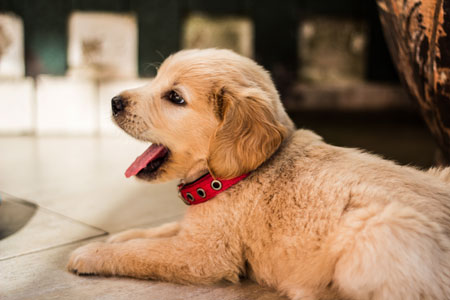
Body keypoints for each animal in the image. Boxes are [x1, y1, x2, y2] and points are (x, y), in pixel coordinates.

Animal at [67, 48, 450, 298]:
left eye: (175, 97)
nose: (114, 101)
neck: (231, 176)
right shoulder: (198, 228)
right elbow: (159, 231)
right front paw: (120, 236)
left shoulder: (204, 254)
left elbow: (144, 254)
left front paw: (91, 253)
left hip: (377, 228)